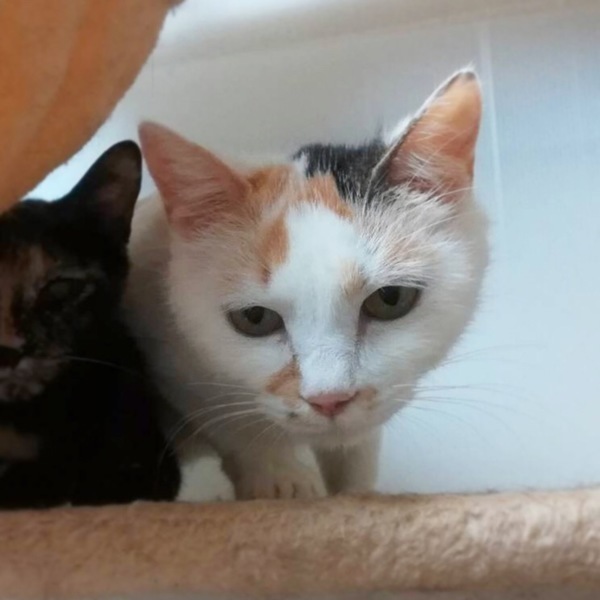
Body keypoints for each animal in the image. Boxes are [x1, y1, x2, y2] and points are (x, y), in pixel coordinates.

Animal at [126, 69, 488, 500]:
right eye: (254, 318)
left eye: (391, 299)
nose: (329, 399)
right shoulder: (170, 360)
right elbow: (232, 422)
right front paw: (282, 481)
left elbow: (358, 451)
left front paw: (357, 495)